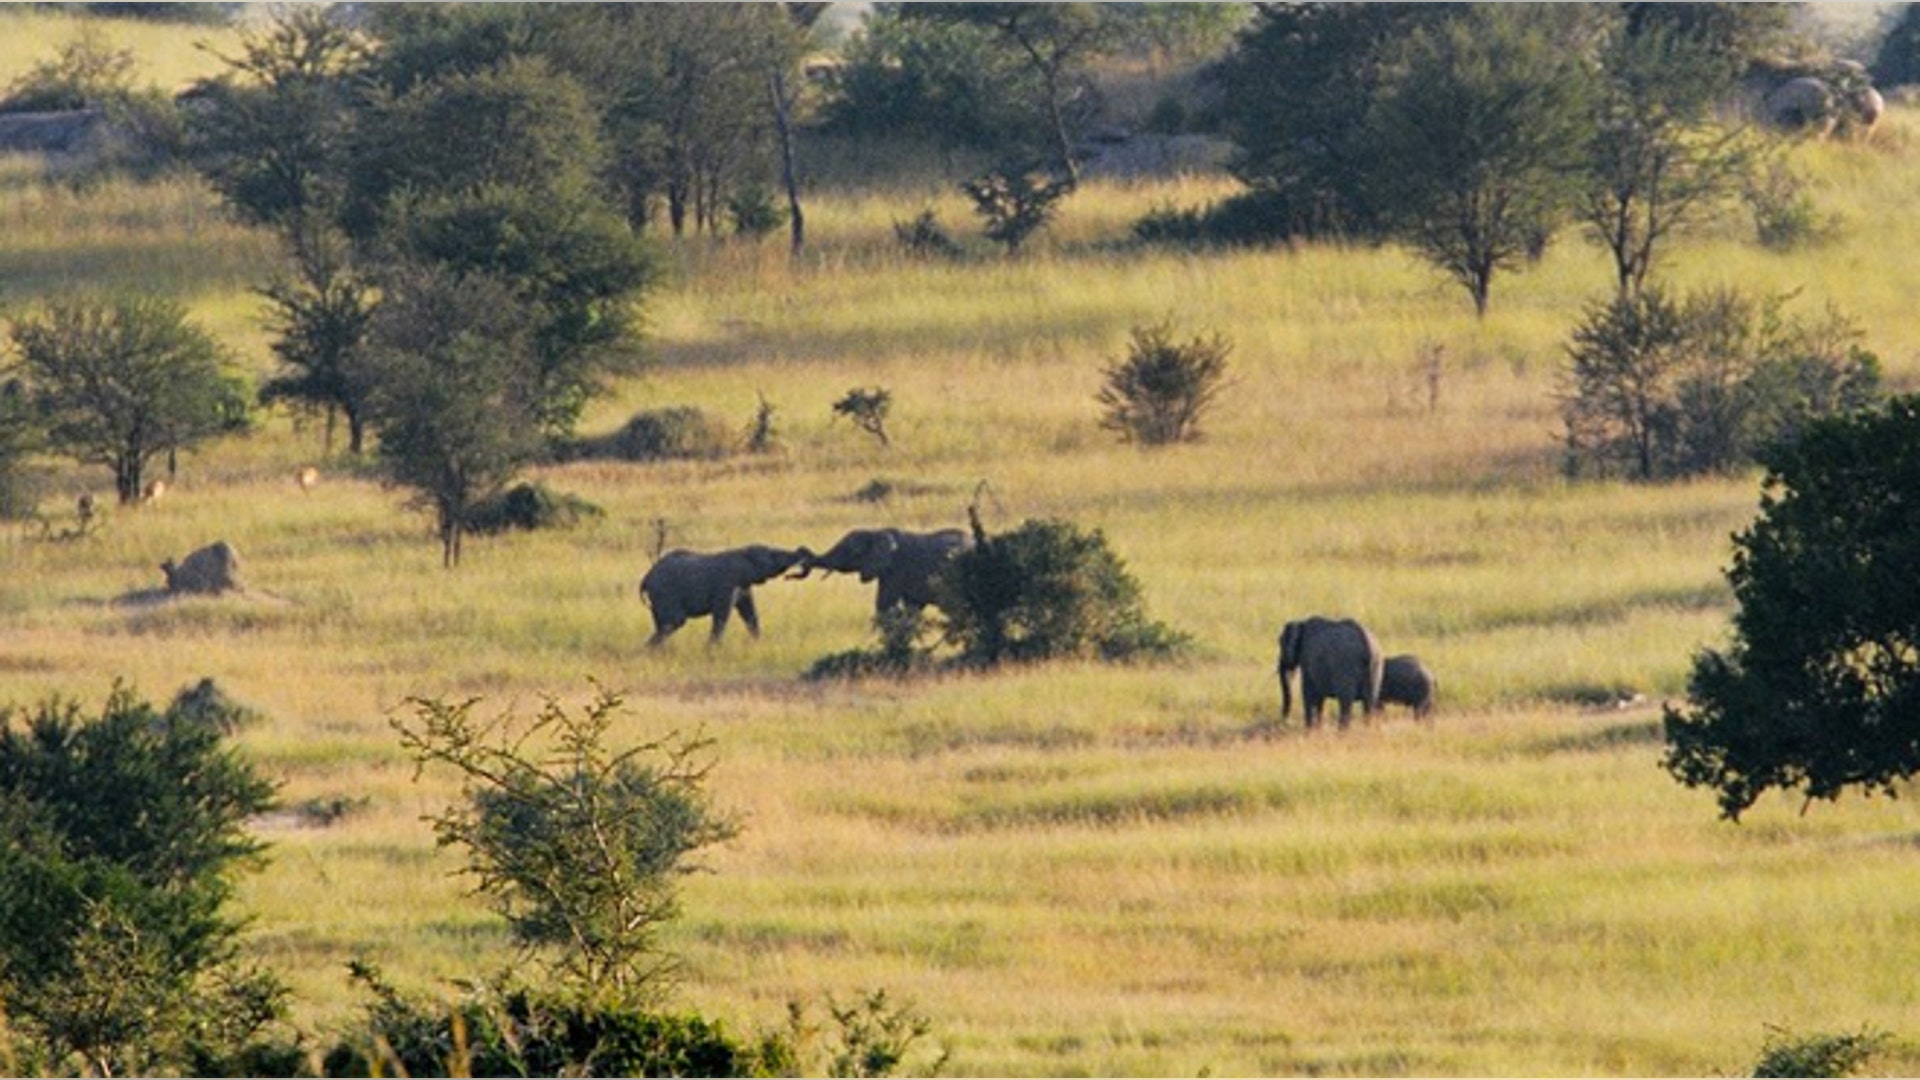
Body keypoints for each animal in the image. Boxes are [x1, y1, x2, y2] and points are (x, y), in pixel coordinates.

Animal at [638, 544, 811, 647]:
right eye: (774, 555)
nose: (802, 550)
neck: (742, 551)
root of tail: (646, 578)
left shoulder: (743, 586)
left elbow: (749, 613)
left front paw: (757, 643)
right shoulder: (727, 582)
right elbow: (722, 613)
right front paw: (711, 649)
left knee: (662, 623)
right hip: (665, 592)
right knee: (674, 621)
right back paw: (649, 650)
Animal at [796, 527, 972, 614]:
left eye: (852, 551)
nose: (802, 553)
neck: (877, 531)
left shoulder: (896, 569)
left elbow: (884, 604)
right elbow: (911, 607)